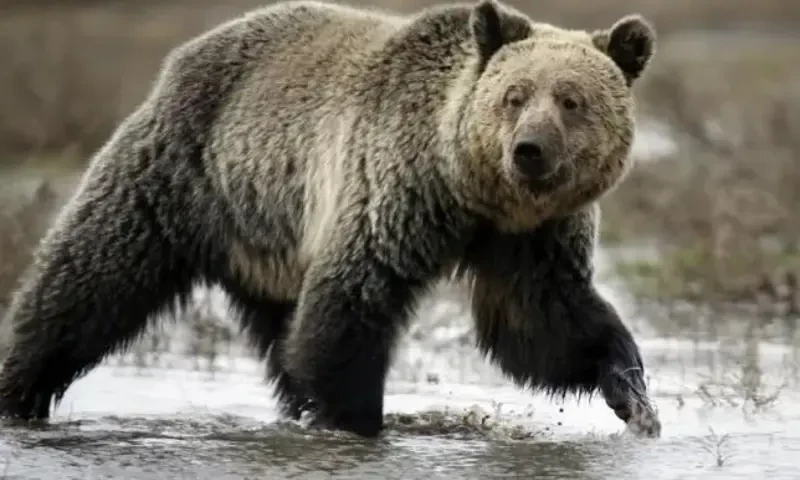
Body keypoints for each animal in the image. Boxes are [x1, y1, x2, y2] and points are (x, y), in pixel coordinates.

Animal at [0, 0, 659, 439]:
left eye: (571, 100)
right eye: (514, 95)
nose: (529, 150)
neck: (473, 192)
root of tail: (185, 54)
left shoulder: (531, 238)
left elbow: (543, 322)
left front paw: (632, 393)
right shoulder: (394, 188)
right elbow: (352, 301)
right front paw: (356, 420)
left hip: (269, 238)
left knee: (283, 334)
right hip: (181, 175)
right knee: (88, 280)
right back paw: (18, 389)